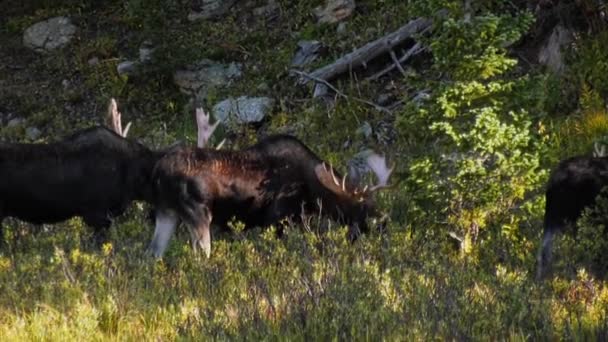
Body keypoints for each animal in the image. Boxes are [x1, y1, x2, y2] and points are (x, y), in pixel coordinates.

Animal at [148, 133, 394, 256]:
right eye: (361, 204)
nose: (384, 221)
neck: (312, 193)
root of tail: (158, 170)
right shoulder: (278, 221)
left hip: (166, 212)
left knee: (153, 253)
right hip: (197, 216)